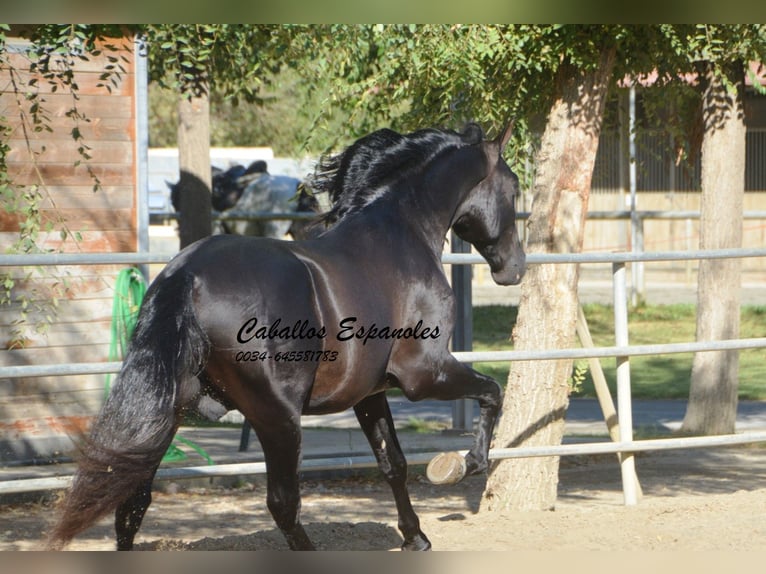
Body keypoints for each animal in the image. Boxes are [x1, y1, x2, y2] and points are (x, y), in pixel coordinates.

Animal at [49, 122, 528, 552]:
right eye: (514, 188)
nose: (516, 268)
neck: (399, 237)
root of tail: (188, 275)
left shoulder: (370, 394)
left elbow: (393, 462)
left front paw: (416, 537)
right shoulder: (424, 374)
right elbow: (493, 391)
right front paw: (469, 464)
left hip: (169, 413)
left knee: (132, 502)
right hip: (278, 419)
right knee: (282, 504)